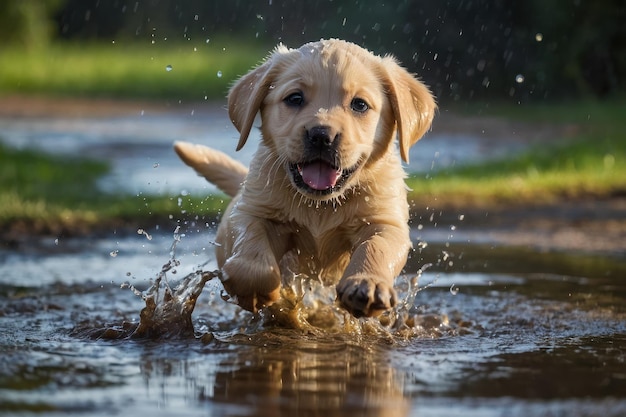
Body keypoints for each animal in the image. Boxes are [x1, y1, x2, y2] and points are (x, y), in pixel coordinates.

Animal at [173, 39, 432, 318]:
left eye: (360, 104)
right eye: (295, 98)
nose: (321, 135)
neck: (320, 205)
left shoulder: (385, 221)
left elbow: (377, 245)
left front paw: (368, 284)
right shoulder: (252, 210)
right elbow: (251, 245)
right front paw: (257, 290)